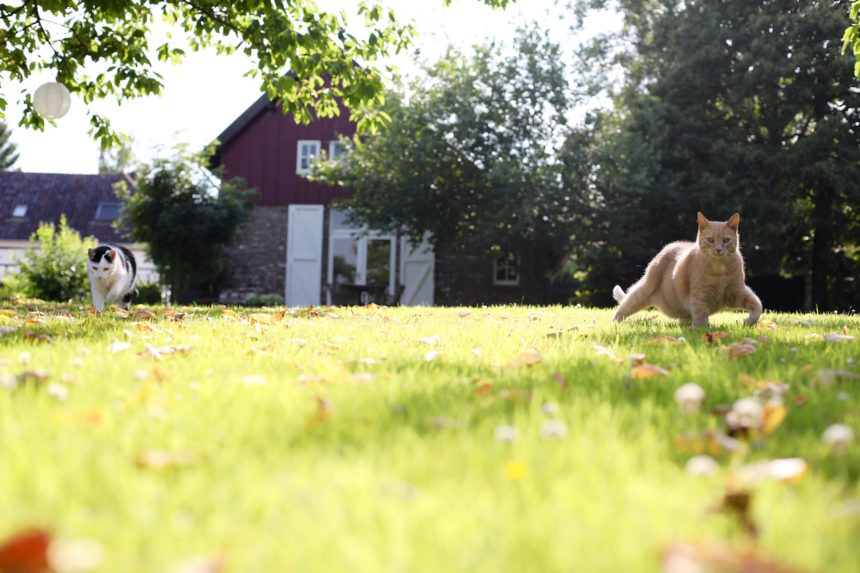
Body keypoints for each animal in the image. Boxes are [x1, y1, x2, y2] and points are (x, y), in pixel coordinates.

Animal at [612, 211, 760, 328]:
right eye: (710, 240)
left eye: (726, 240)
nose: (718, 250)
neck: (719, 270)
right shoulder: (699, 296)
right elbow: (701, 318)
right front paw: (700, 331)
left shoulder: (738, 291)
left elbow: (757, 305)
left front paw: (749, 322)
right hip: (644, 291)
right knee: (624, 305)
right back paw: (615, 324)